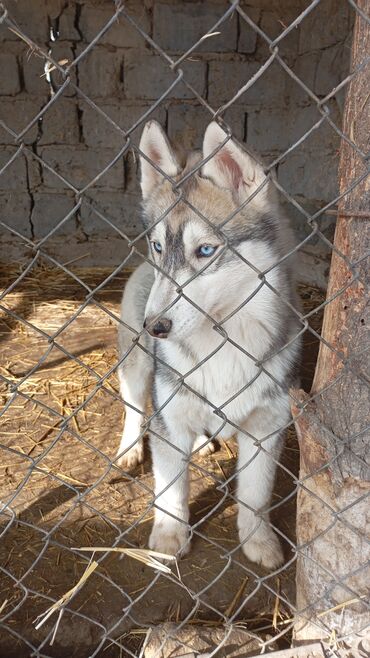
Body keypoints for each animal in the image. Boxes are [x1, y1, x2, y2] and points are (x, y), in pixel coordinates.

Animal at [116, 120, 300, 568]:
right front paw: (168, 537)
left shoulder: (268, 425)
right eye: (159, 246)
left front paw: (259, 542)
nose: (155, 327)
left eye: (205, 250)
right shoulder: (168, 416)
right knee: (134, 405)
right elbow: (170, 488)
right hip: (137, 366)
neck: (225, 343)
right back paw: (130, 447)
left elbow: (255, 495)